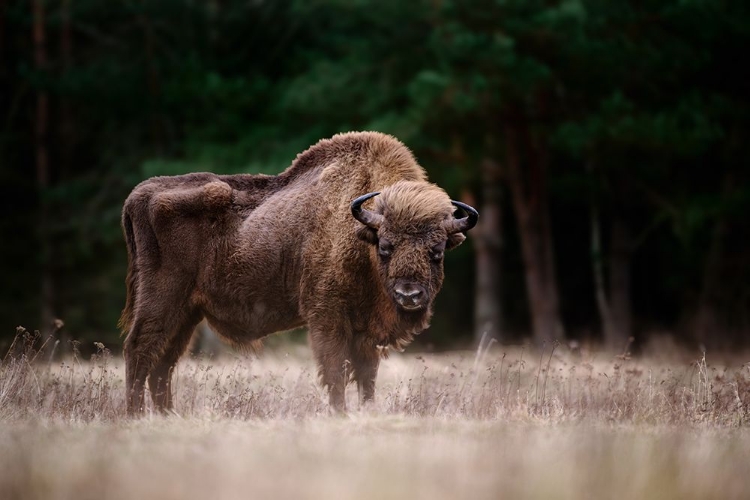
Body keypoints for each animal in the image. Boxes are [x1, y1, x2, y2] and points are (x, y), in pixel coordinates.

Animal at [120, 130, 478, 414]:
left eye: (437, 251)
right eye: (386, 247)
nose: (409, 295)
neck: (361, 233)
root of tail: (140, 193)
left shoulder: (366, 332)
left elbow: (366, 378)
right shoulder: (327, 317)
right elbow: (335, 372)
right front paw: (339, 414)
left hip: (187, 312)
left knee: (163, 363)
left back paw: (167, 415)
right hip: (162, 298)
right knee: (139, 349)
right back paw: (135, 415)